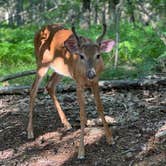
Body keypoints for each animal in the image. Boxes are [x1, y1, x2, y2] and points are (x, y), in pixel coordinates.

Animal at [27, 22, 115, 159]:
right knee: (33, 90)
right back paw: (30, 132)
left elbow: (100, 108)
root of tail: (40, 30)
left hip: (60, 70)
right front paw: (81, 152)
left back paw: (66, 123)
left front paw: (110, 139)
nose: (91, 73)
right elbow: (82, 113)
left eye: (98, 55)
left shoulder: (95, 82)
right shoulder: (78, 82)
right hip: (41, 63)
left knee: (49, 86)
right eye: (81, 56)